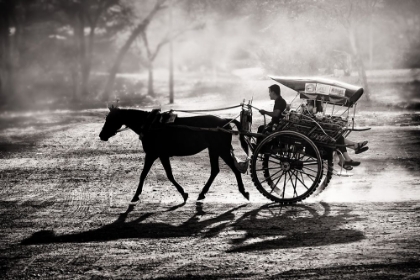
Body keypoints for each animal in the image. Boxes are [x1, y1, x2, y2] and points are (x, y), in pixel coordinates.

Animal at [98, 106, 249, 203]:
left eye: (111, 119)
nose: (101, 135)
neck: (151, 125)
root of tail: (225, 121)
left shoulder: (157, 154)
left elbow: (166, 175)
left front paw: (184, 193)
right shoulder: (154, 155)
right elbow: (145, 174)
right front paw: (136, 195)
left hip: (221, 149)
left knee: (234, 169)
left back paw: (243, 191)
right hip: (214, 150)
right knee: (215, 170)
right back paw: (202, 193)